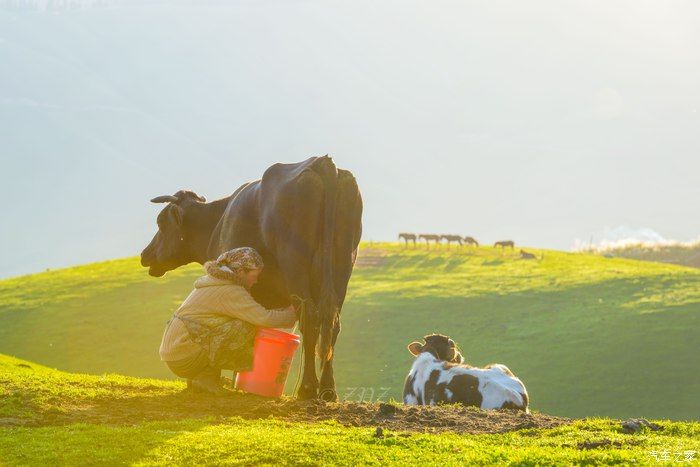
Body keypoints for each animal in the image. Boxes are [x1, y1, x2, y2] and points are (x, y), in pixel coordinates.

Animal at [140, 155, 364, 400]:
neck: (217, 221)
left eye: (161, 222)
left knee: (311, 318)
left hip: (295, 262)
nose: (144, 254)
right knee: (331, 322)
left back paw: (307, 389)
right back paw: (327, 390)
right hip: (343, 264)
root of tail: (322, 161)